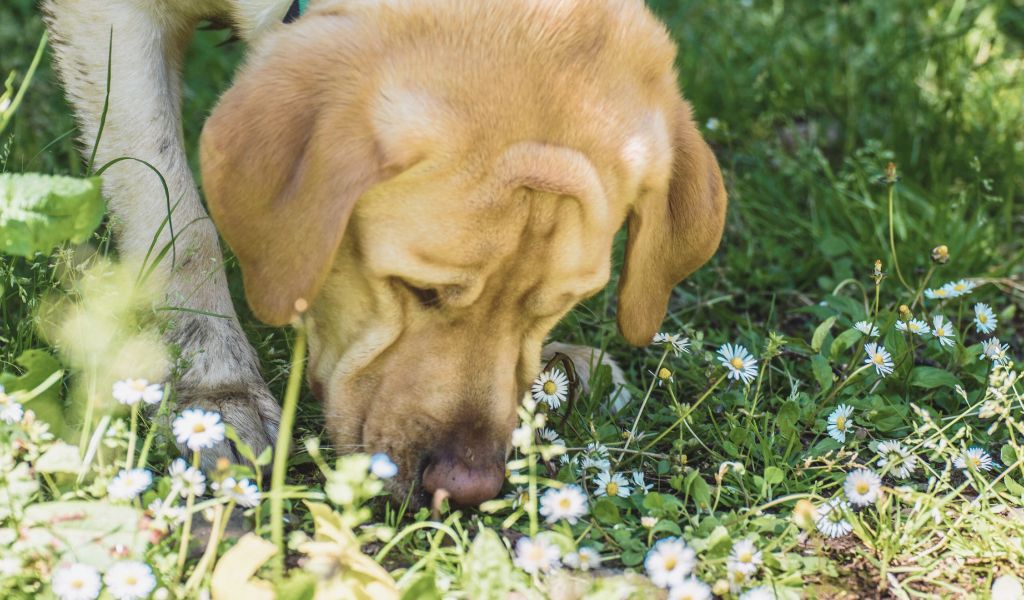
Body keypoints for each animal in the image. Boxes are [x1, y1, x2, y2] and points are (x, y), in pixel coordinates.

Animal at [44, 0, 724, 503]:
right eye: (418, 289)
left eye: (558, 306)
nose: (467, 488)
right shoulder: (111, 25)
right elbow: (179, 222)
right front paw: (212, 391)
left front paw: (560, 367)